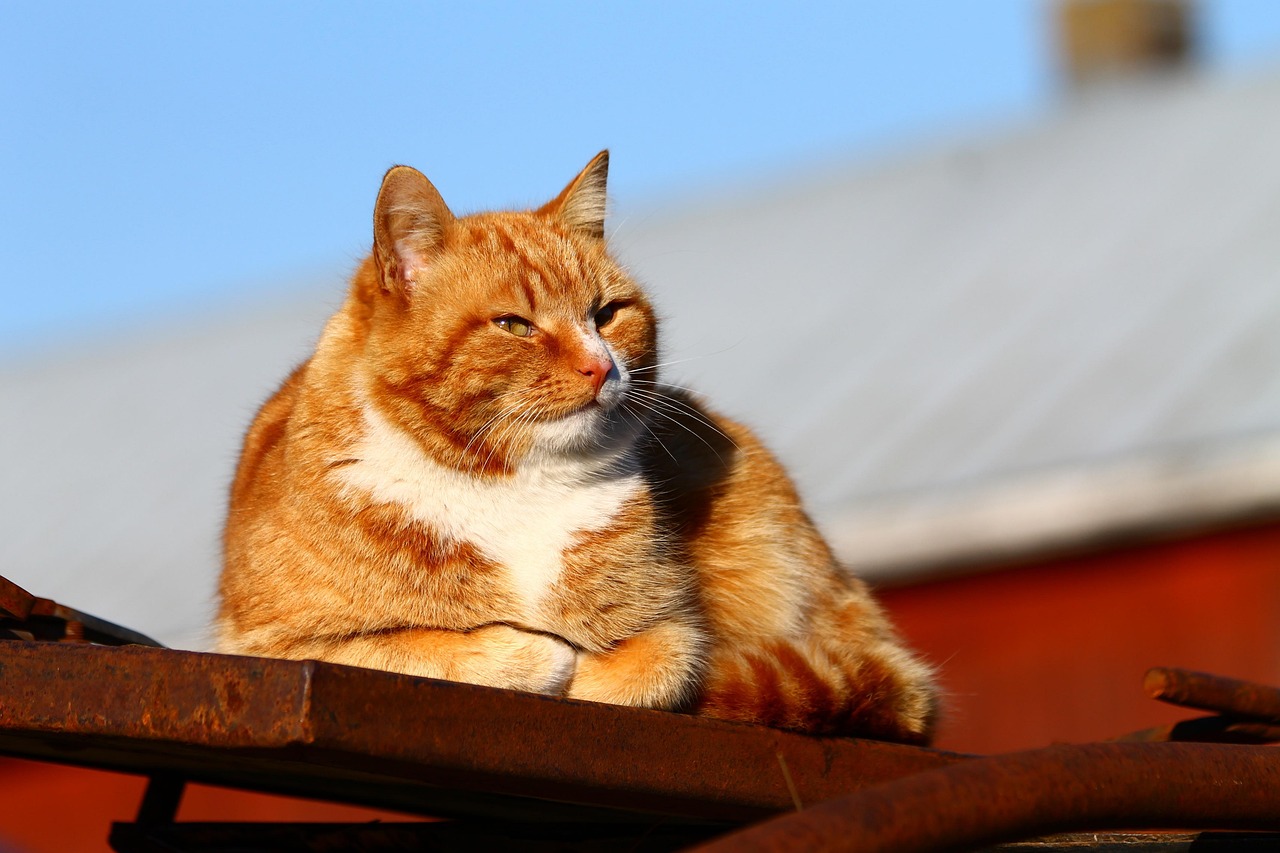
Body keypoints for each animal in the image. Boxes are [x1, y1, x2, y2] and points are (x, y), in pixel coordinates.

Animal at [217, 156, 942, 742]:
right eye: (514, 324)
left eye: (607, 313)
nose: (602, 367)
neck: (512, 484)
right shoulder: (271, 648)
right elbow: (425, 646)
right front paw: (534, 654)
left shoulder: (675, 623)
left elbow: (653, 666)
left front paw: (588, 675)